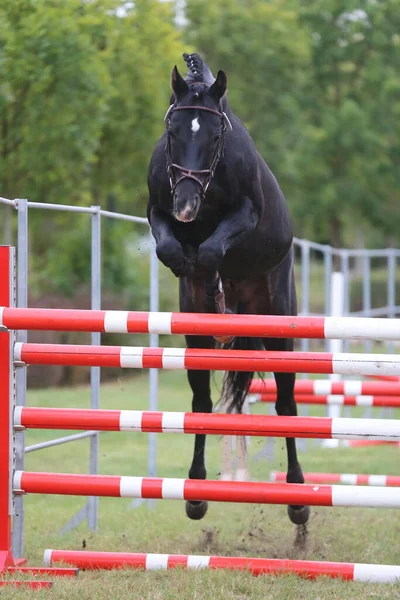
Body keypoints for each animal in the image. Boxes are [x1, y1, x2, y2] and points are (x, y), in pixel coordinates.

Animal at [148, 54, 310, 528]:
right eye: (172, 131)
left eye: (216, 135)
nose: (186, 206)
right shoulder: (157, 209)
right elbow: (171, 246)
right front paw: (190, 270)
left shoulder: (246, 213)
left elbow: (211, 249)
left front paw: (209, 277)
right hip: (195, 342)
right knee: (201, 402)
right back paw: (196, 494)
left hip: (279, 326)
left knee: (286, 406)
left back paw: (297, 498)